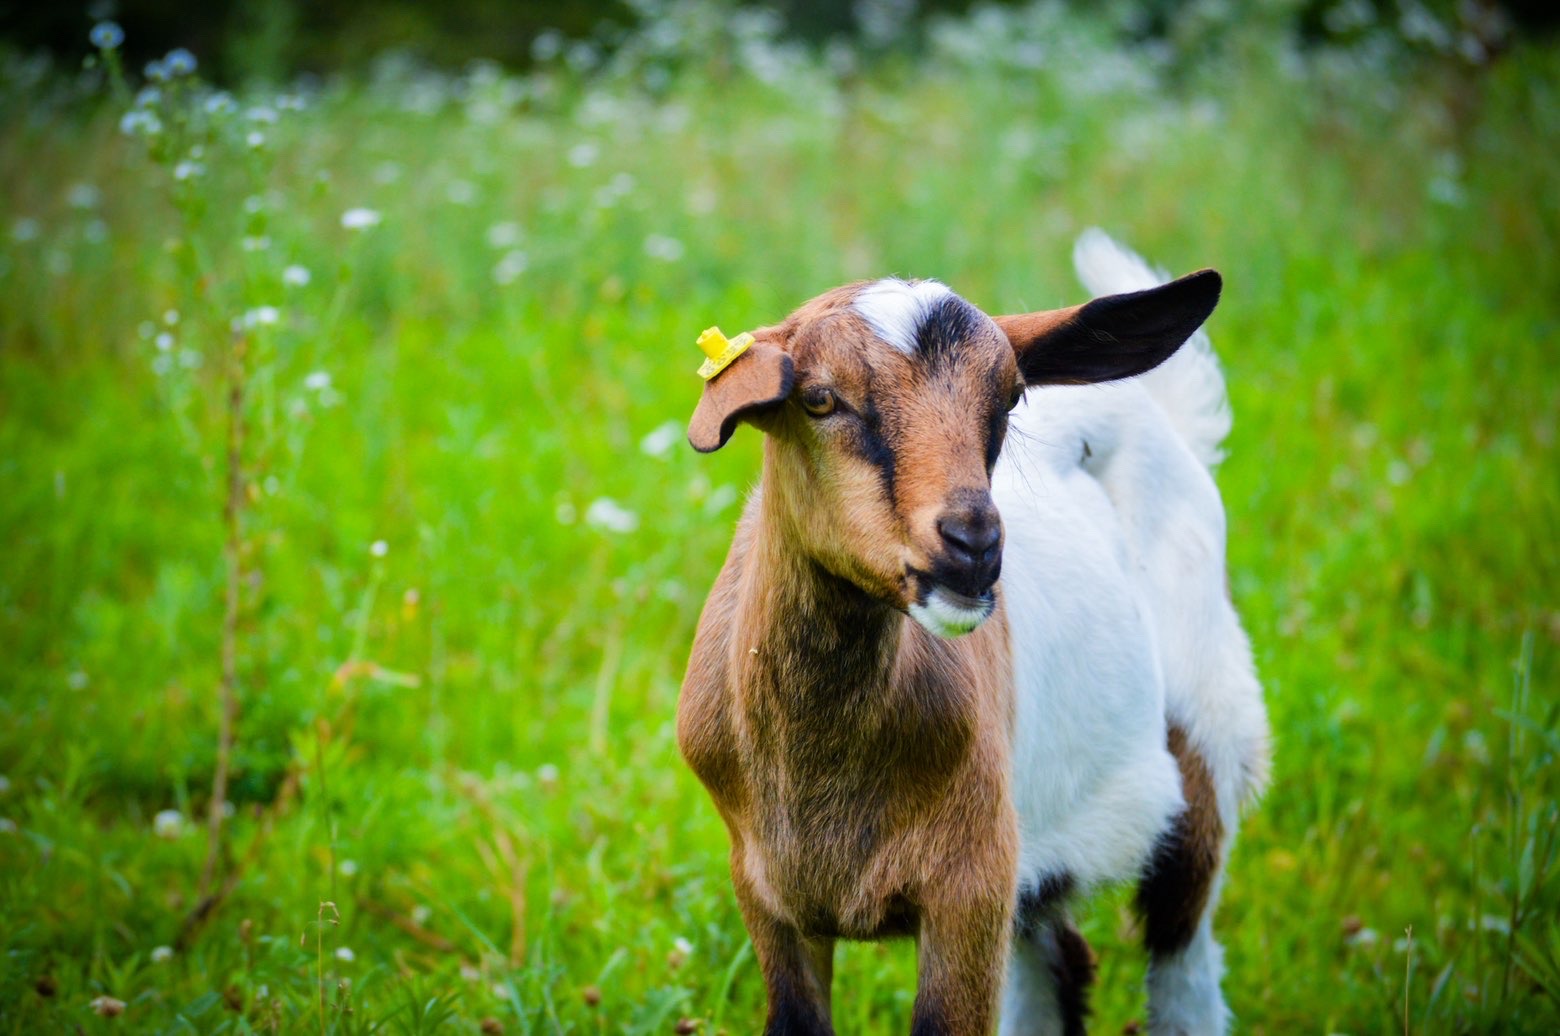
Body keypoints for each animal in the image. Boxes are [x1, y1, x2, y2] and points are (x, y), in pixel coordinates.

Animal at [678, 230, 1270, 1035]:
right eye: (819, 398)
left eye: (1009, 397)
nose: (974, 543)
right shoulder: (767, 892)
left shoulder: (970, 884)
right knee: (1057, 962)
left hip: (1206, 744)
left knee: (1186, 964)